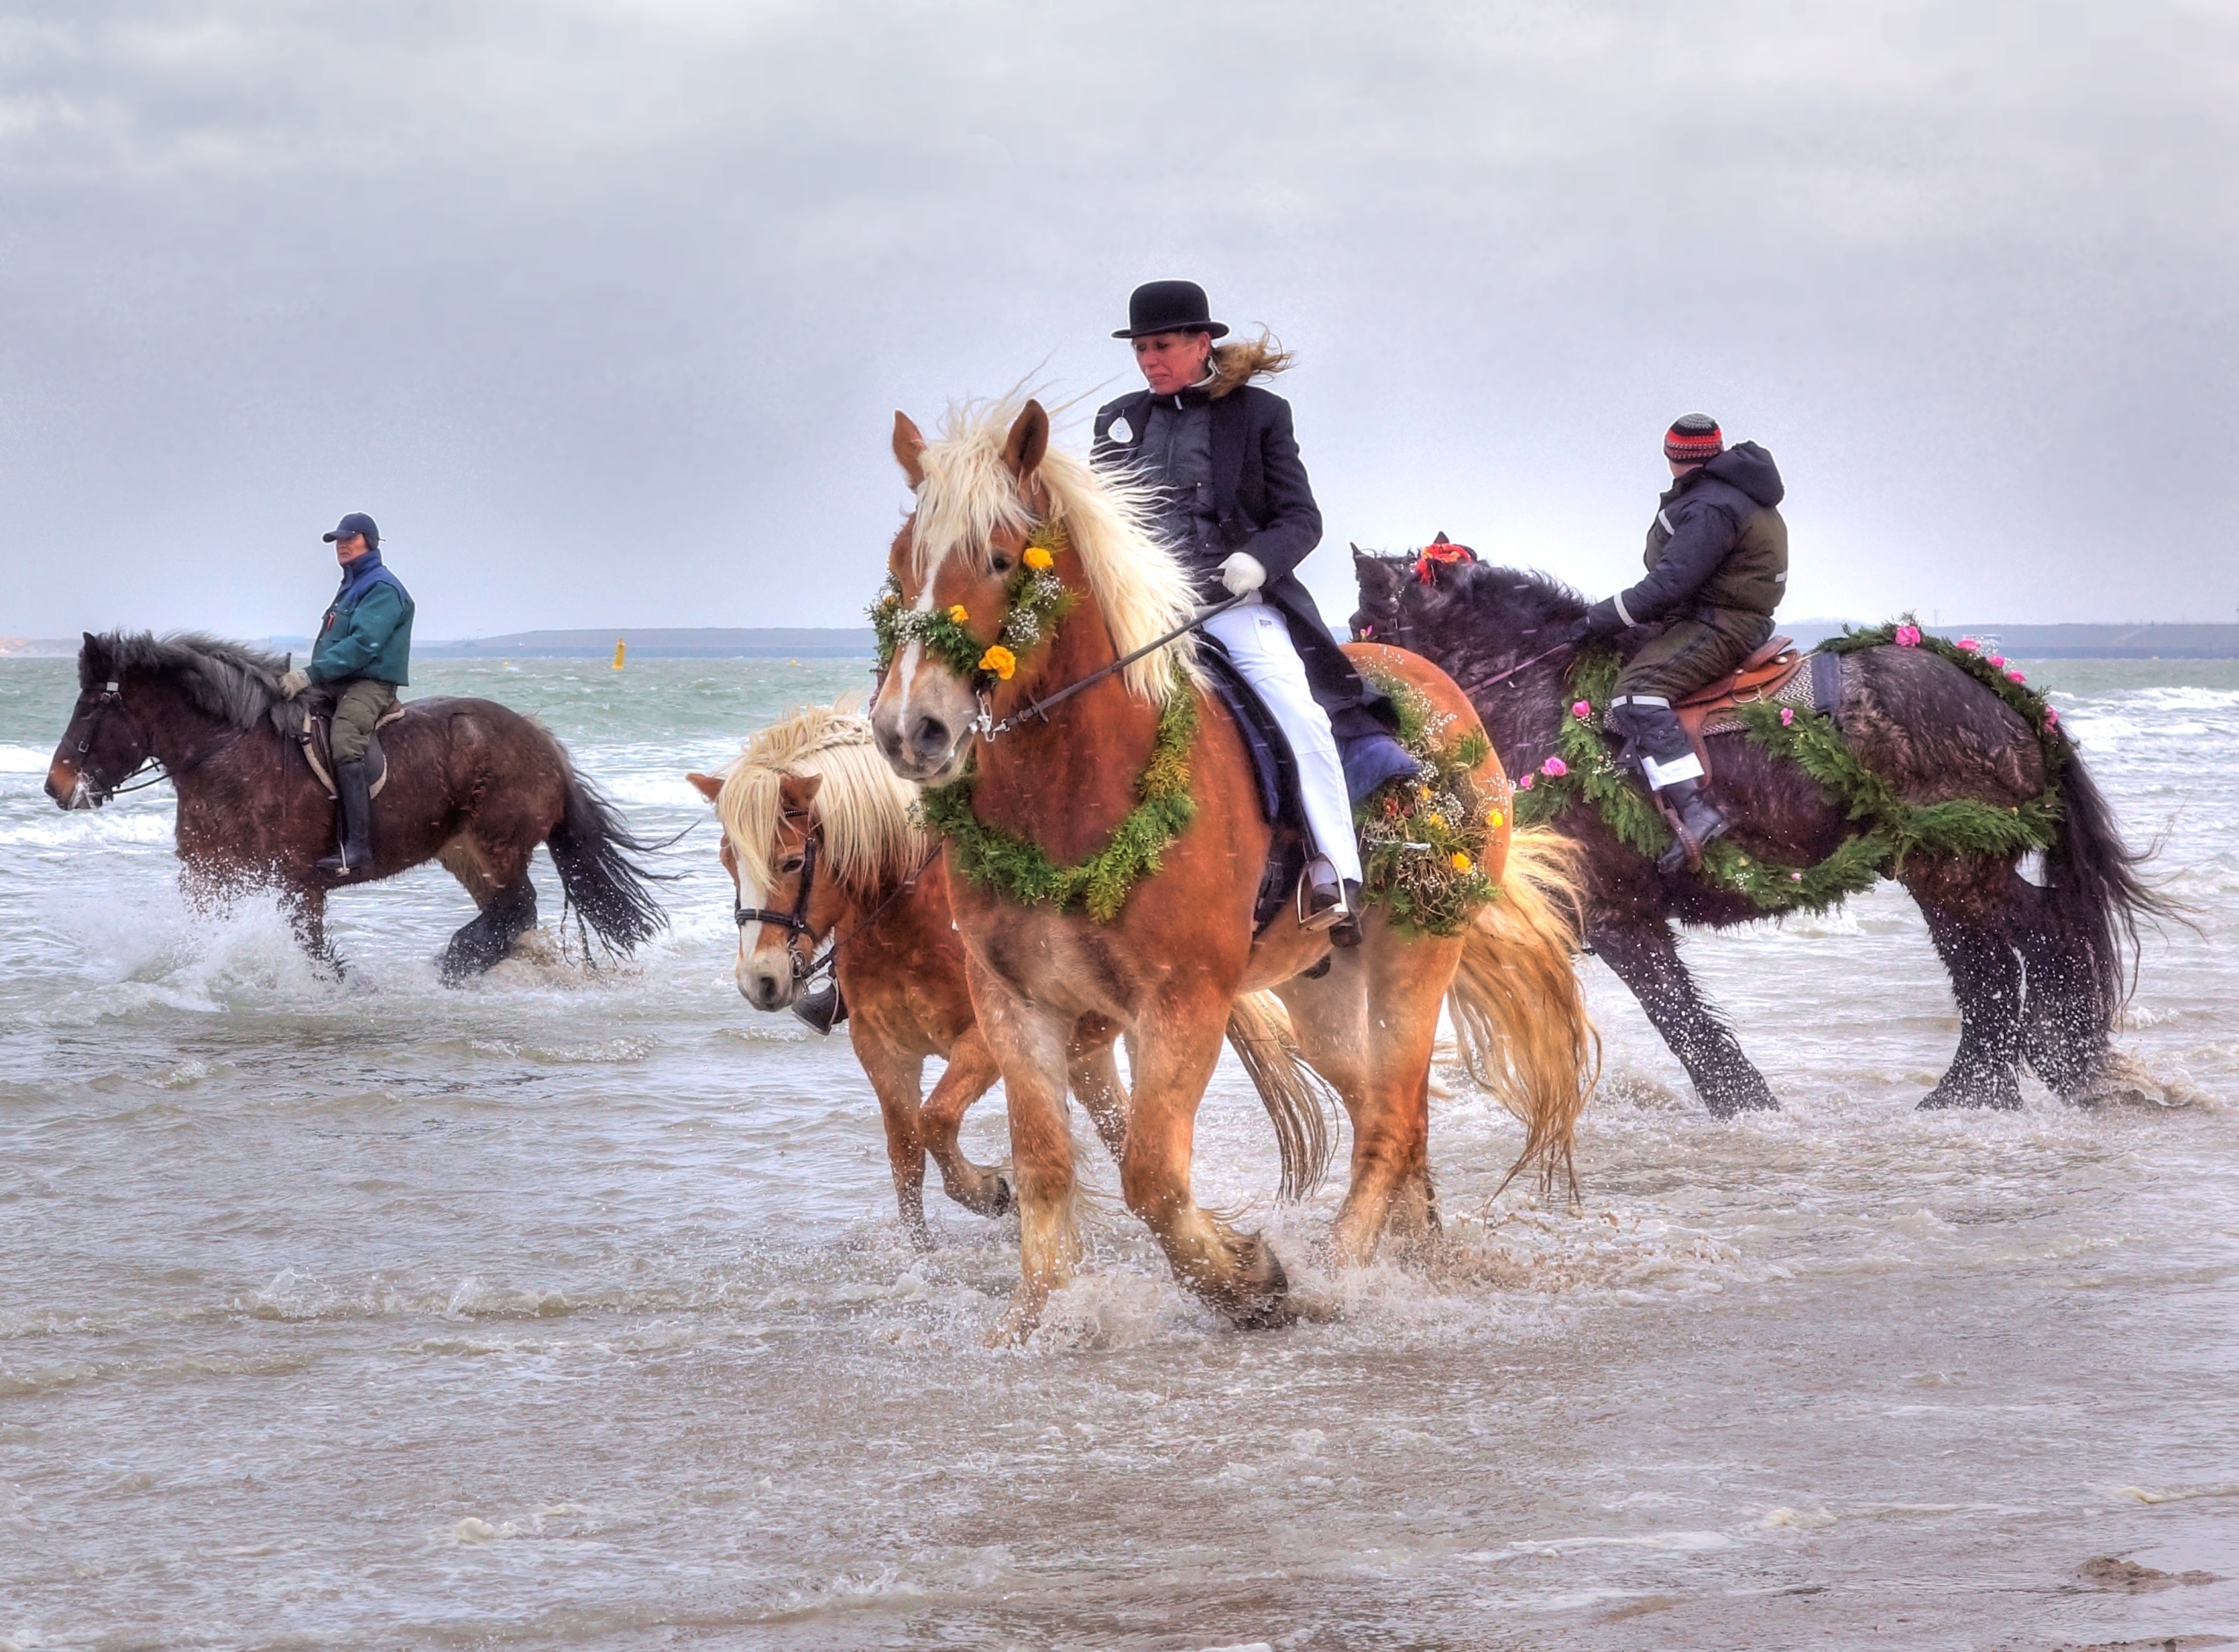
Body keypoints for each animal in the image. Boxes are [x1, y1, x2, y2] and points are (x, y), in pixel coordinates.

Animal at [46, 631, 668, 977]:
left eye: (90, 708)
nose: (55, 786)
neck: (230, 756)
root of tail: (544, 743)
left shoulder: (299, 884)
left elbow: (312, 950)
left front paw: (344, 984)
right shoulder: (209, 877)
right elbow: (205, 941)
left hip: (498, 846)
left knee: (517, 910)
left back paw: (451, 965)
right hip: (465, 852)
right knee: (509, 915)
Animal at [685, 702, 1343, 1248]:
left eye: (792, 861)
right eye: (726, 860)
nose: (759, 982)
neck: (906, 911)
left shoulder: (983, 1041)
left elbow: (935, 1121)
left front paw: (988, 1192)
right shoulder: (882, 1051)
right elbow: (905, 1154)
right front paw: (922, 1260)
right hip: (1086, 1053)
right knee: (1119, 1130)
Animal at [867, 397, 1596, 1337]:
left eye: (999, 558)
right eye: (899, 566)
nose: (907, 731)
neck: (1075, 797)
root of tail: (1439, 687)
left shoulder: (1182, 1006)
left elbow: (1150, 1174)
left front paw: (1242, 1278)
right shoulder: (1014, 1002)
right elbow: (1040, 1163)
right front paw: (1035, 1315)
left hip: (1416, 957)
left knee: (1393, 1117)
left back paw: (1339, 1273)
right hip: (1320, 986)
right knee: (1379, 1106)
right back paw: (1414, 1248)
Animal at [1350, 552, 2167, 1114]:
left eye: (1359, 629)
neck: (1535, 694)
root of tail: (2004, 699)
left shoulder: (1612, 911)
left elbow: (1678, 1015)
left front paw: (1743, 1103)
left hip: (1958, 864)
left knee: (2038, 938)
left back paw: (2041, 1065)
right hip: (1940, 873)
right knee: (1990, 969)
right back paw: (1977, 1091)